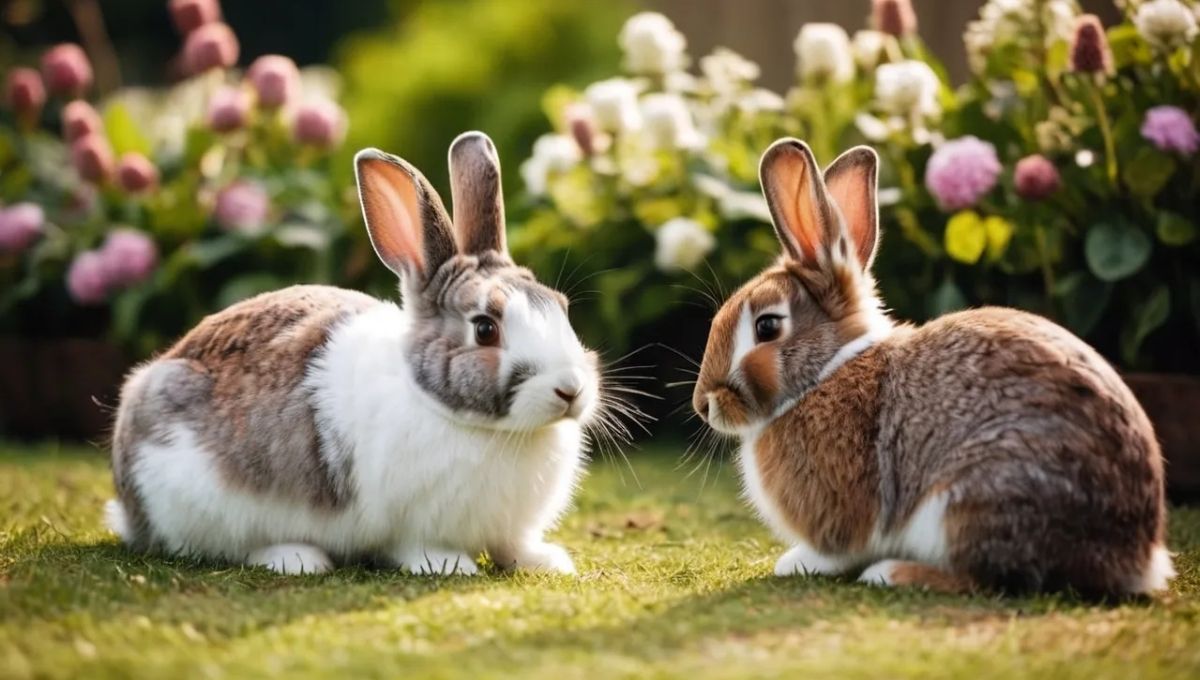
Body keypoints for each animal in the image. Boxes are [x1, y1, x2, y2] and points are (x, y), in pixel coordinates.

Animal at [104, 132, 601, 576]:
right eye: (485, 328)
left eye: (561, 307)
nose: (570, 390)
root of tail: (130, 510)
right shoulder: (411, 522)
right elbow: (419, 547)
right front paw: (451, 566)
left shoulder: (509, 528)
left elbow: (512, 545)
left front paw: (548, 562)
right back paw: (297, 559)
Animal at [691, 137, 1173, 597]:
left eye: (767, 326)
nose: (703, 405)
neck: (827, 372)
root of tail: (1132, 559)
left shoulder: (840, 512)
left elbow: (834, 550)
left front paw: (793, 563)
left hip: (975, 496)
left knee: (995, 580)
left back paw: (890, 573)